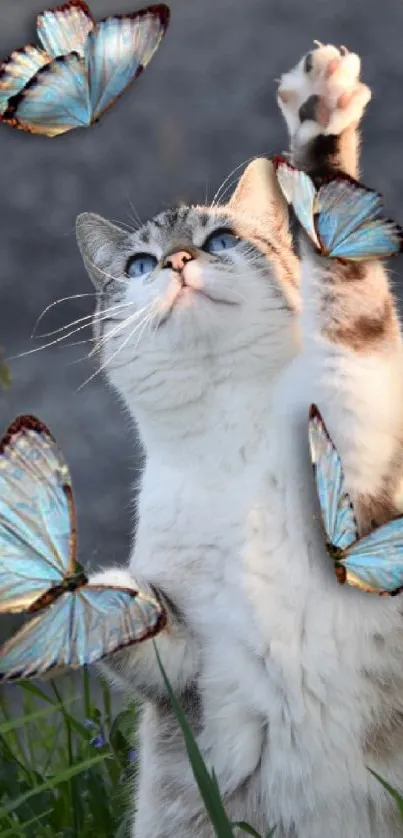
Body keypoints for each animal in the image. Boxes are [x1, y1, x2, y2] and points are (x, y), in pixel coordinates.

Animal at [76, 44, 403, 838]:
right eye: (138, 265)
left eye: (220, 240)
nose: (177, 262)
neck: (227, 433)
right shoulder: (186, 666)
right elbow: (136, 627)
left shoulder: (361, 431)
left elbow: (342, 273)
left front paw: (320, 118)